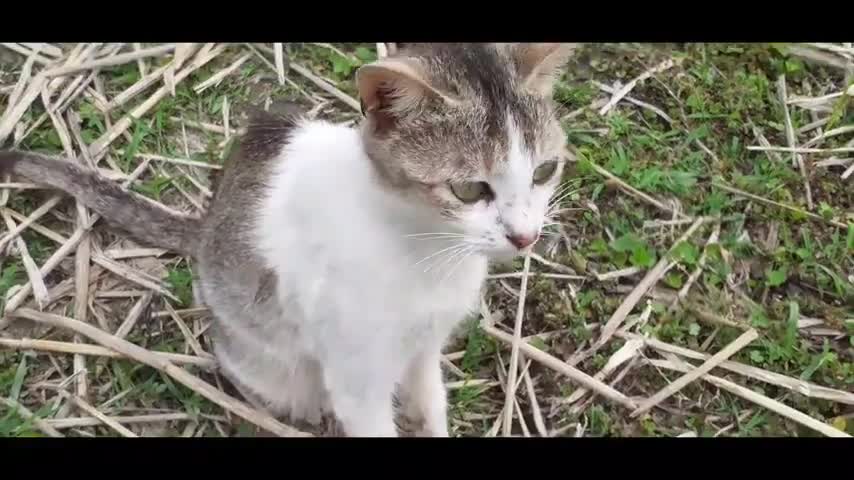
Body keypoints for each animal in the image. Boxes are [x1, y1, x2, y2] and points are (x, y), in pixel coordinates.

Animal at [0, 43, 580, 436]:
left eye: (545, 170)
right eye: (469, 189)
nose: (525, 236)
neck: (428, 254)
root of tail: (207, 225)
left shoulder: (424, 347)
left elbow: (430, 405)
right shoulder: (356, 376)